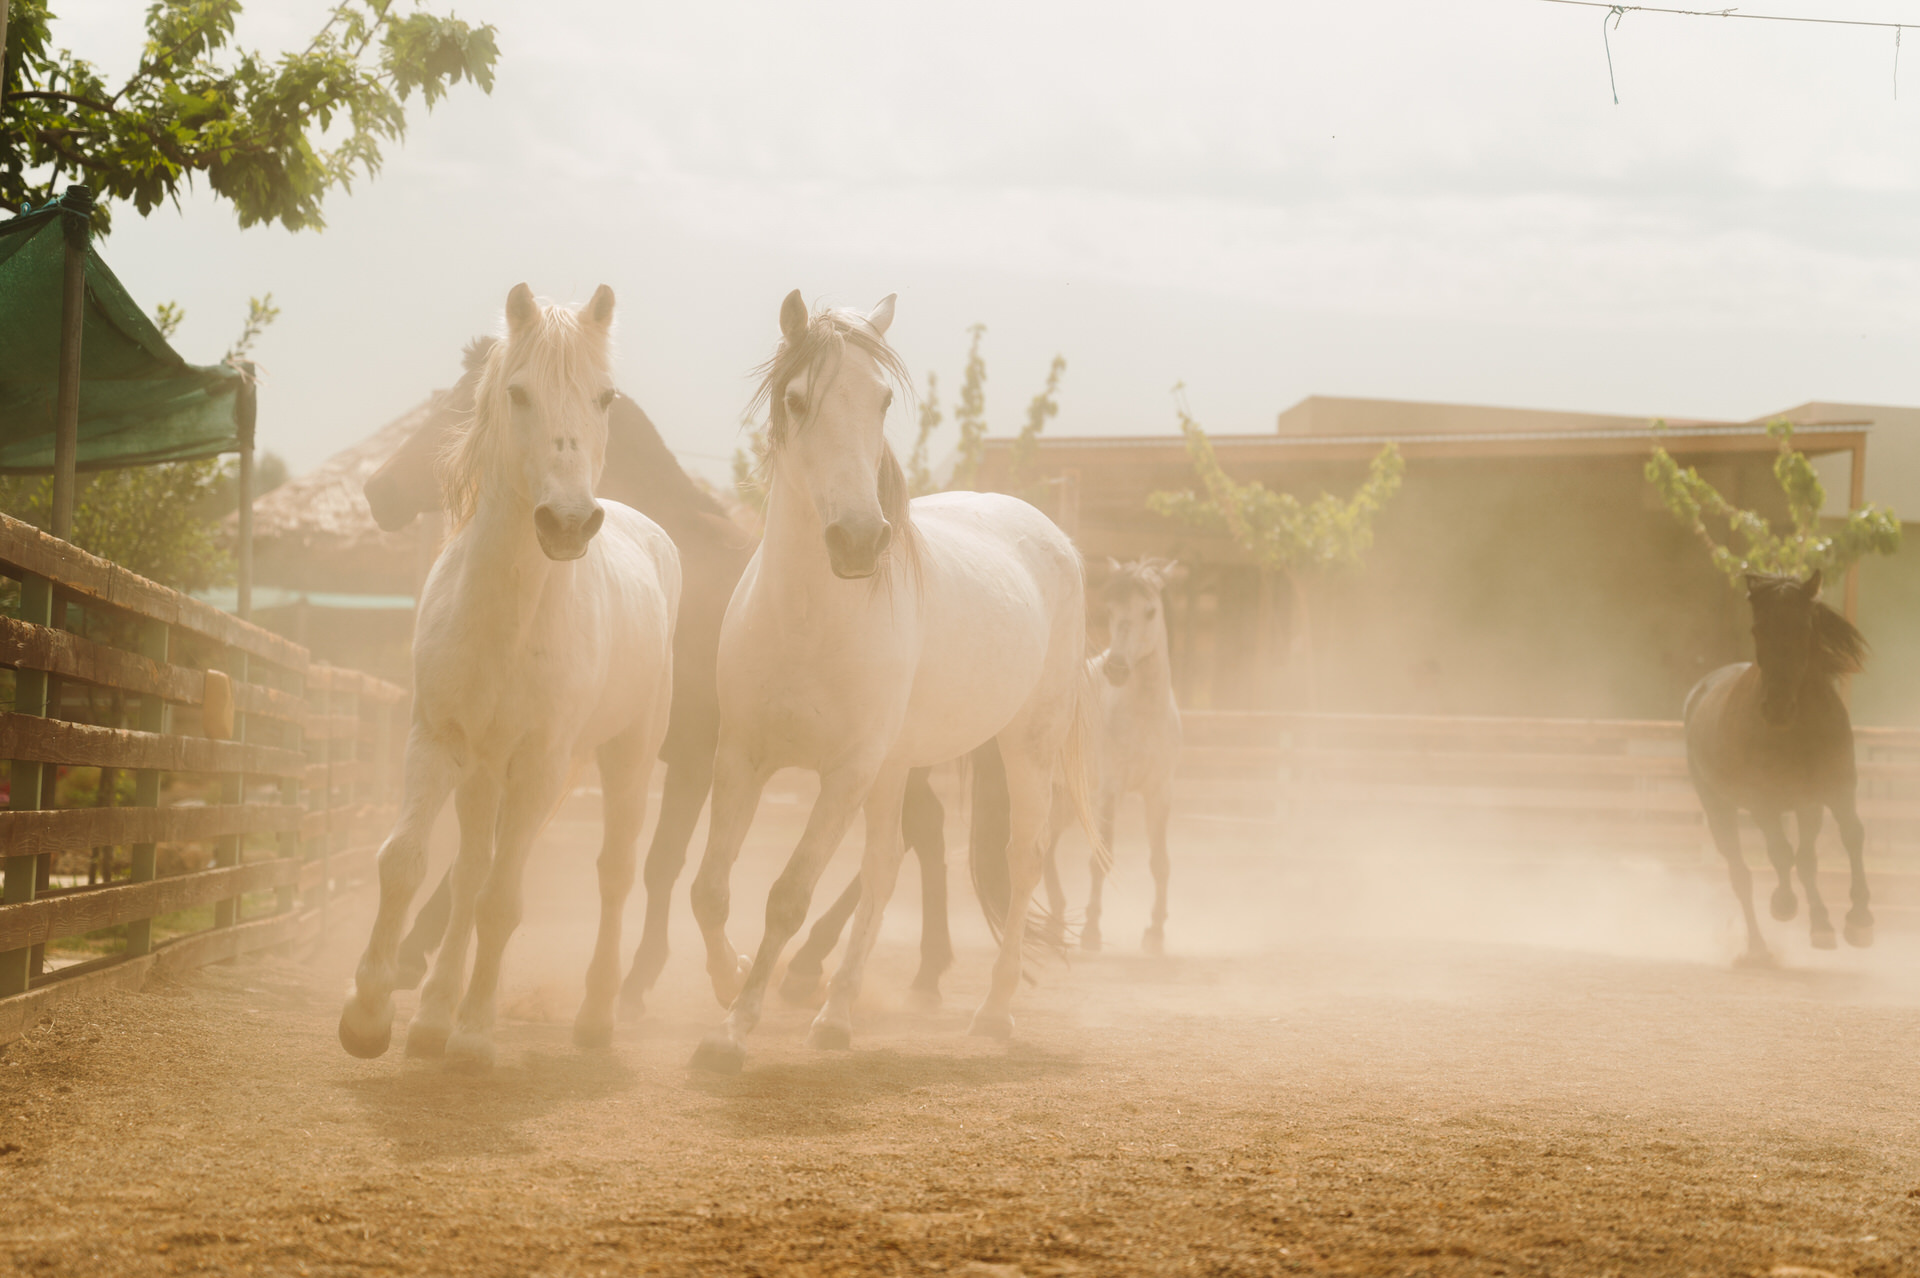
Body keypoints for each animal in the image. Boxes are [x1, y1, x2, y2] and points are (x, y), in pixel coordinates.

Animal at [339, 285, 683, 1066]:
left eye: (604, 396)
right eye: (518, 392)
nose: (568, 523)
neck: (510, 616)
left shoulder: (538, 768)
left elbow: (502, 901)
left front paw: (473, 1034)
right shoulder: (437, 740)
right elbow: (407, 862)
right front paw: (370, 1016)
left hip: (625, 758)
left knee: (614, 873)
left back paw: (594, 1017)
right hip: (482, 772)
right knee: (468, 871)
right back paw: (431, 1018)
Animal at [362, 337, 960, 1013]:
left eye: (468, 406)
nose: (378, 491)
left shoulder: (690, 760)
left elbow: (661, 863)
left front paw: (639, 977)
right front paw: (414, 953)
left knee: (913, 837)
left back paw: (859, 967)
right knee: (920, 833)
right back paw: (886, 967)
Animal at [687, 285, 1098, 1066]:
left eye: (880, 399)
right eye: (796, 399)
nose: (858, 540)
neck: (805, 618)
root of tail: (1049, 533)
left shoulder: (844, 772)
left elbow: (787, 896)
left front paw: (733, 1028)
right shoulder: (740, 757)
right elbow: (711, 888)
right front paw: (727, 985)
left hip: (1022, 748)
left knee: (1021, 858)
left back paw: (992, 1014)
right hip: (896, 766)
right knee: (885, 866)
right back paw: (835, 1017)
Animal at [1052, 552, 1182, 951]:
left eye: (1150, 610)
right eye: (1111, 610)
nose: (1117, 668)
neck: (1142, 715)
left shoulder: (1159, 793)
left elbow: (1160, 863)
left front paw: (1155, 932)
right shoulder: (1110, 793)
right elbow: (1101, 859)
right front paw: (1092, 930)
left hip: (1066, 802)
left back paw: (1054, 920)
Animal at [1689, 571, 1866, 959]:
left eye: (1804, 626)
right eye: (1758, 629)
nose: (1777, 709)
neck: (1801, 730)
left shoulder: (1836, 789)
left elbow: (1850, 836)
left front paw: (1859, 920)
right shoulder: (1762, 802)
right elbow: (1781, 855)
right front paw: (1784, 905)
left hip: (1805, 806)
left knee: (1806, 860)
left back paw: (1819, 925)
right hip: (1719, 808)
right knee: (1741, 874)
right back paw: (1758, 947)